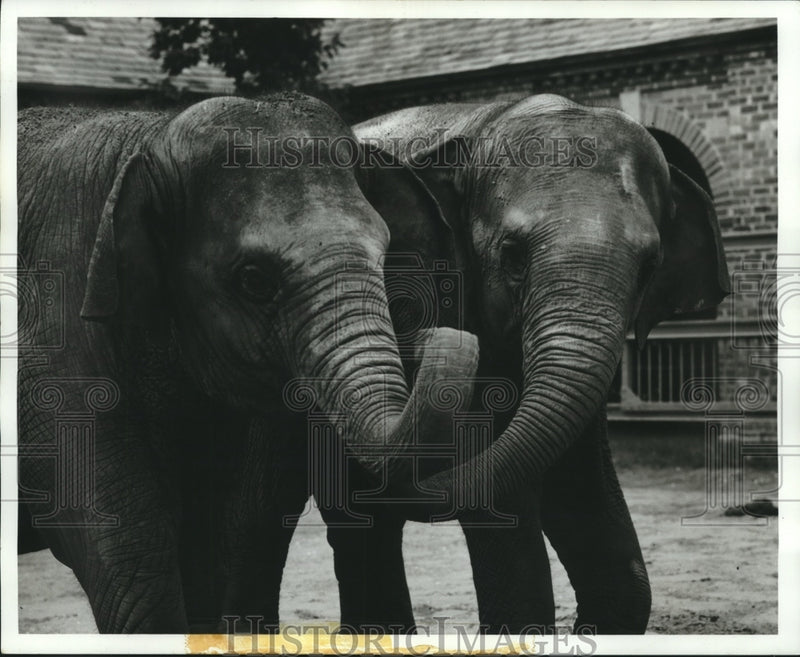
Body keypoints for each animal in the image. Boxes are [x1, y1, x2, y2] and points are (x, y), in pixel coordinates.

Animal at [16, 93, 480, 633]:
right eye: (254, 279)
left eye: (386, 257)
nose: (434, 335)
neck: (150, 139)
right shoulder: (54, 335)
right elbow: (124, 541)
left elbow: (232, 535)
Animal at [309, 93, 730, 634]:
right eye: (512, 254)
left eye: (649, 269)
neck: (493, 116)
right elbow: (499, 505)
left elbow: (581, 497)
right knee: (359, 520)